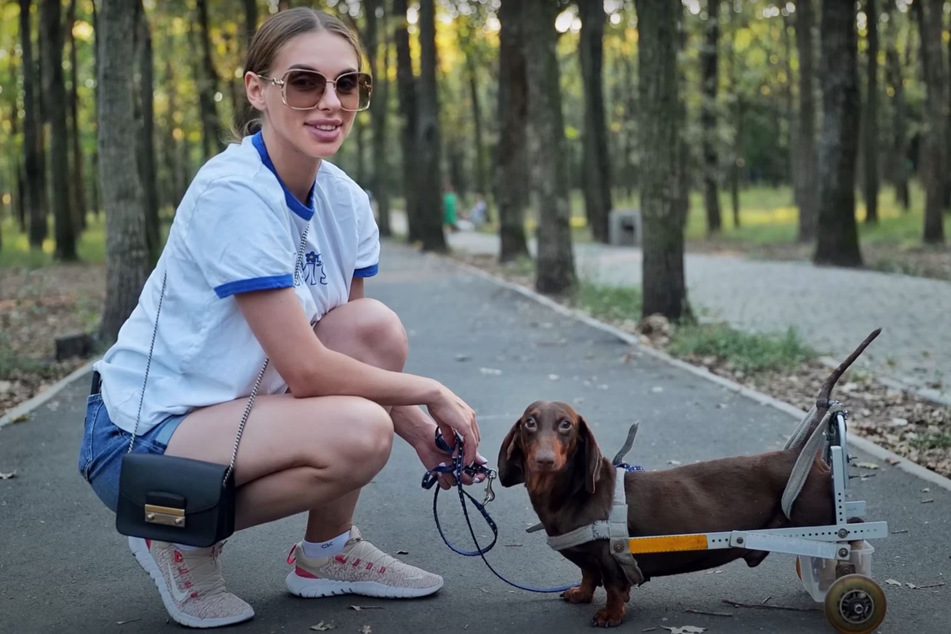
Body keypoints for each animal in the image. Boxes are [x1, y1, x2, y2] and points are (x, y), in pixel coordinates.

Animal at [502, 328, 880, 624]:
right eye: (529, 423)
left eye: (566, 425)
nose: (545, 460)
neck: (567, 496)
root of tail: (800, 454)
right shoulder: (589, 559)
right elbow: (587, 572)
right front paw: (581, 593)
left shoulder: (611, 557)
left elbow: (612, 585)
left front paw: (610, 614)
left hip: (822, 514)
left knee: (853, 533)